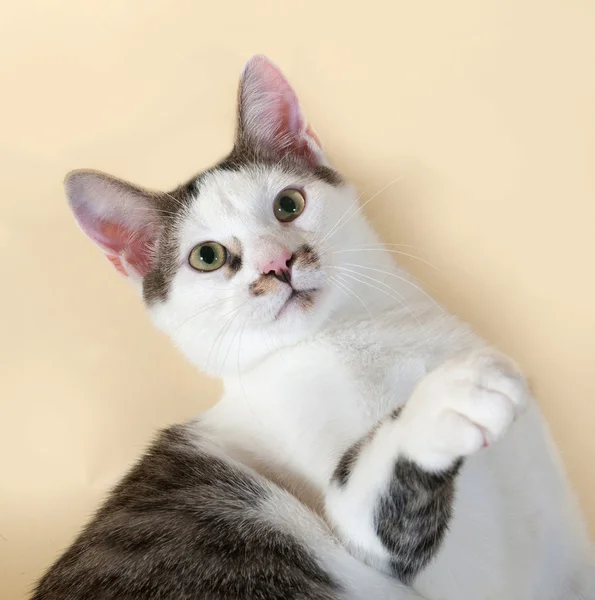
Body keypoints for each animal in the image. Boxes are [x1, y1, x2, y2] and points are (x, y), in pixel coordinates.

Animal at [33, 56, 595, 600]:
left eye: (289, 204)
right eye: (207, 257)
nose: (276, 263)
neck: (350, 336)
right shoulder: (403, 557)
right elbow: (366, 503)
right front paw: (439, 405)